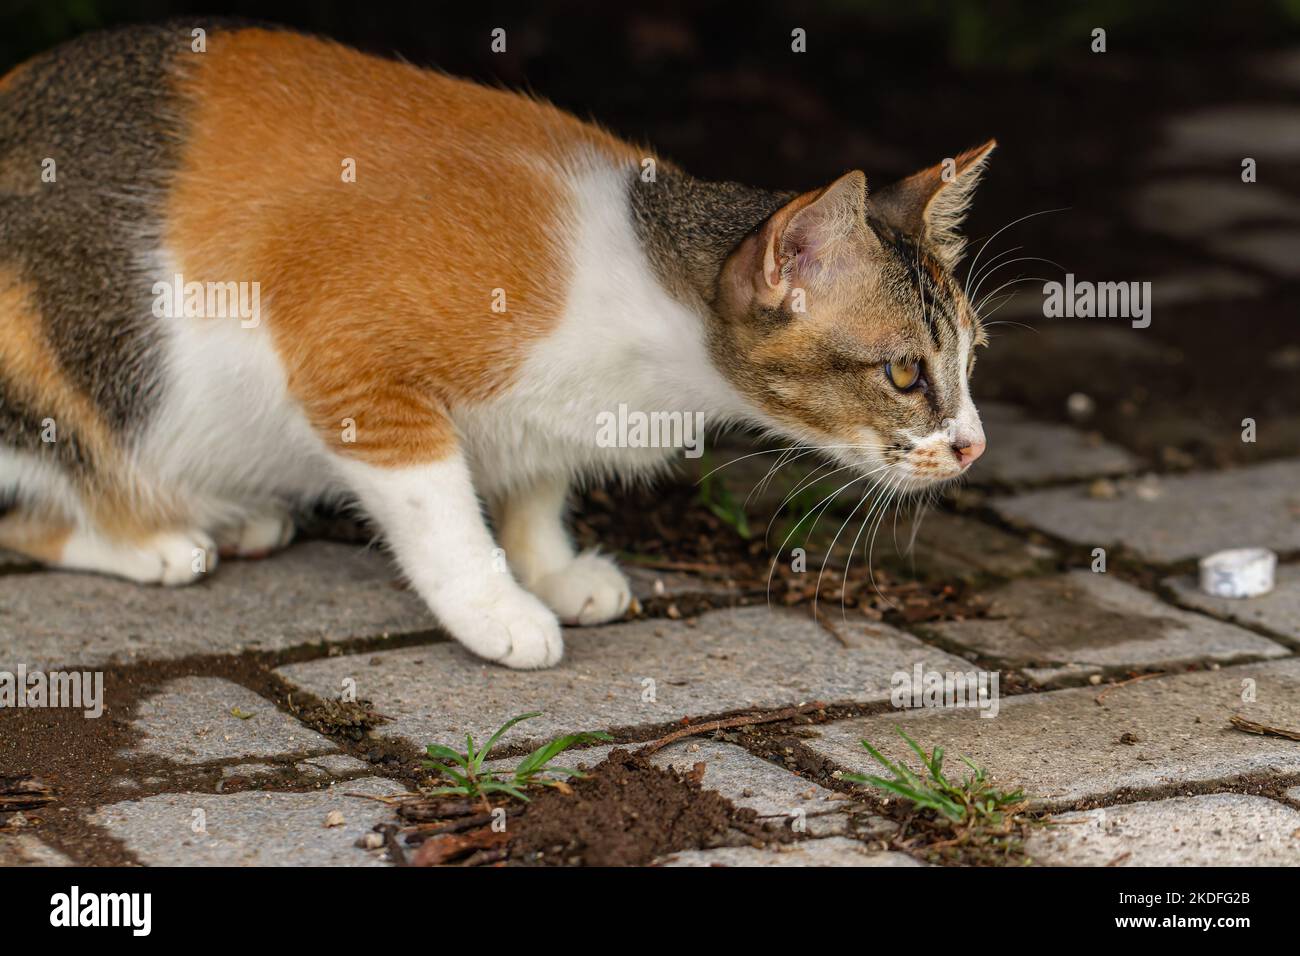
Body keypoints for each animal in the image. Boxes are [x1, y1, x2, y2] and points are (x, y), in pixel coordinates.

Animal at [0, 20, 987, 665]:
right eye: (906, 372)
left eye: (971, 360)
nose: (973, 445)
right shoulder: (347, 357)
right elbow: (435, 503)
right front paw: (494, 604)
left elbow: (538, 477)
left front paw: (547, 565)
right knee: (40, 507)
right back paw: (157, 536)